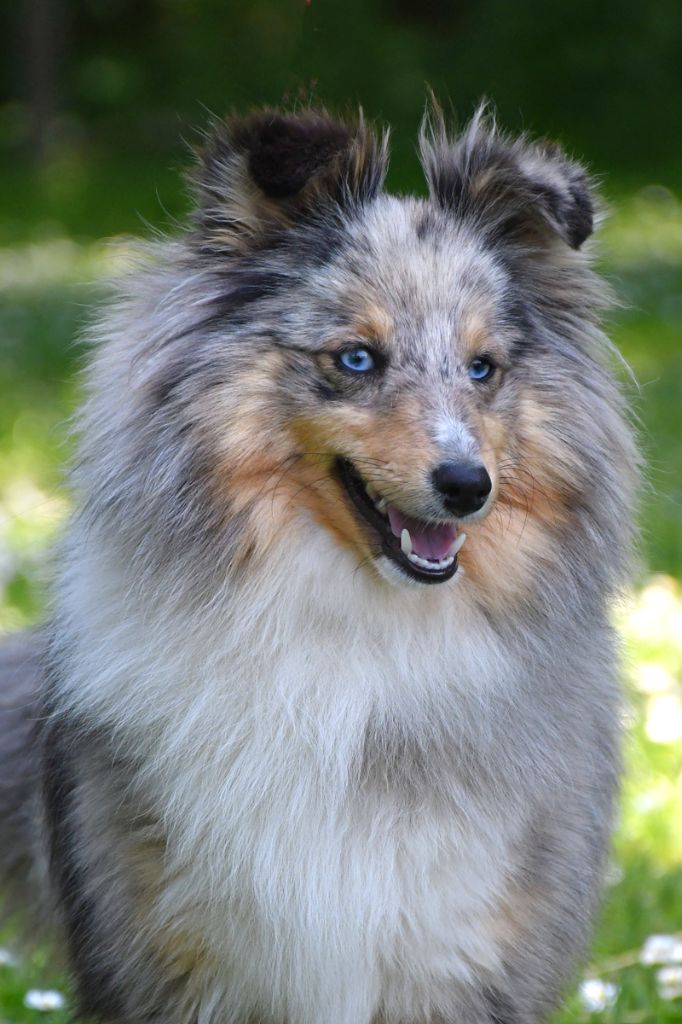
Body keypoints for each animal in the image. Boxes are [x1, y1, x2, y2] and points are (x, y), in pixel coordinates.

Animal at [1, 105, 638, 1024]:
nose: (466, 486)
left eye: (483, 369)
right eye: (357, 358)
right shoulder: (165, 956)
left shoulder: (462, 952)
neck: (356, 635)